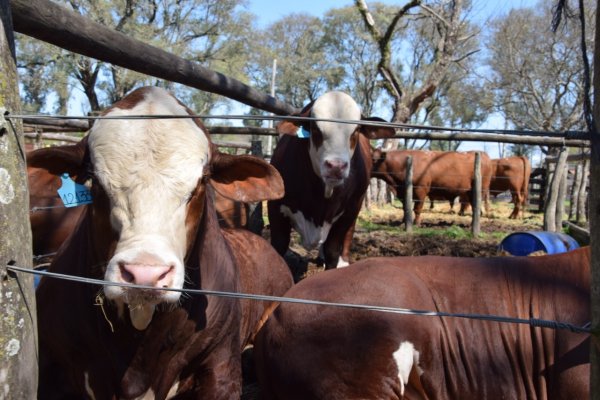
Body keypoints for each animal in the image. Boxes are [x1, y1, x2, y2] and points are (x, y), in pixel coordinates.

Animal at [268, 92, 394, 270]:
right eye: (314, 128)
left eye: (356, 130)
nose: (336, 166)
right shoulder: (276, 206)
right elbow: (278, 246)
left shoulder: (347, 212)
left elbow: (332, 250)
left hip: (357, 204)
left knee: (348, 234)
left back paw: (344, 261)